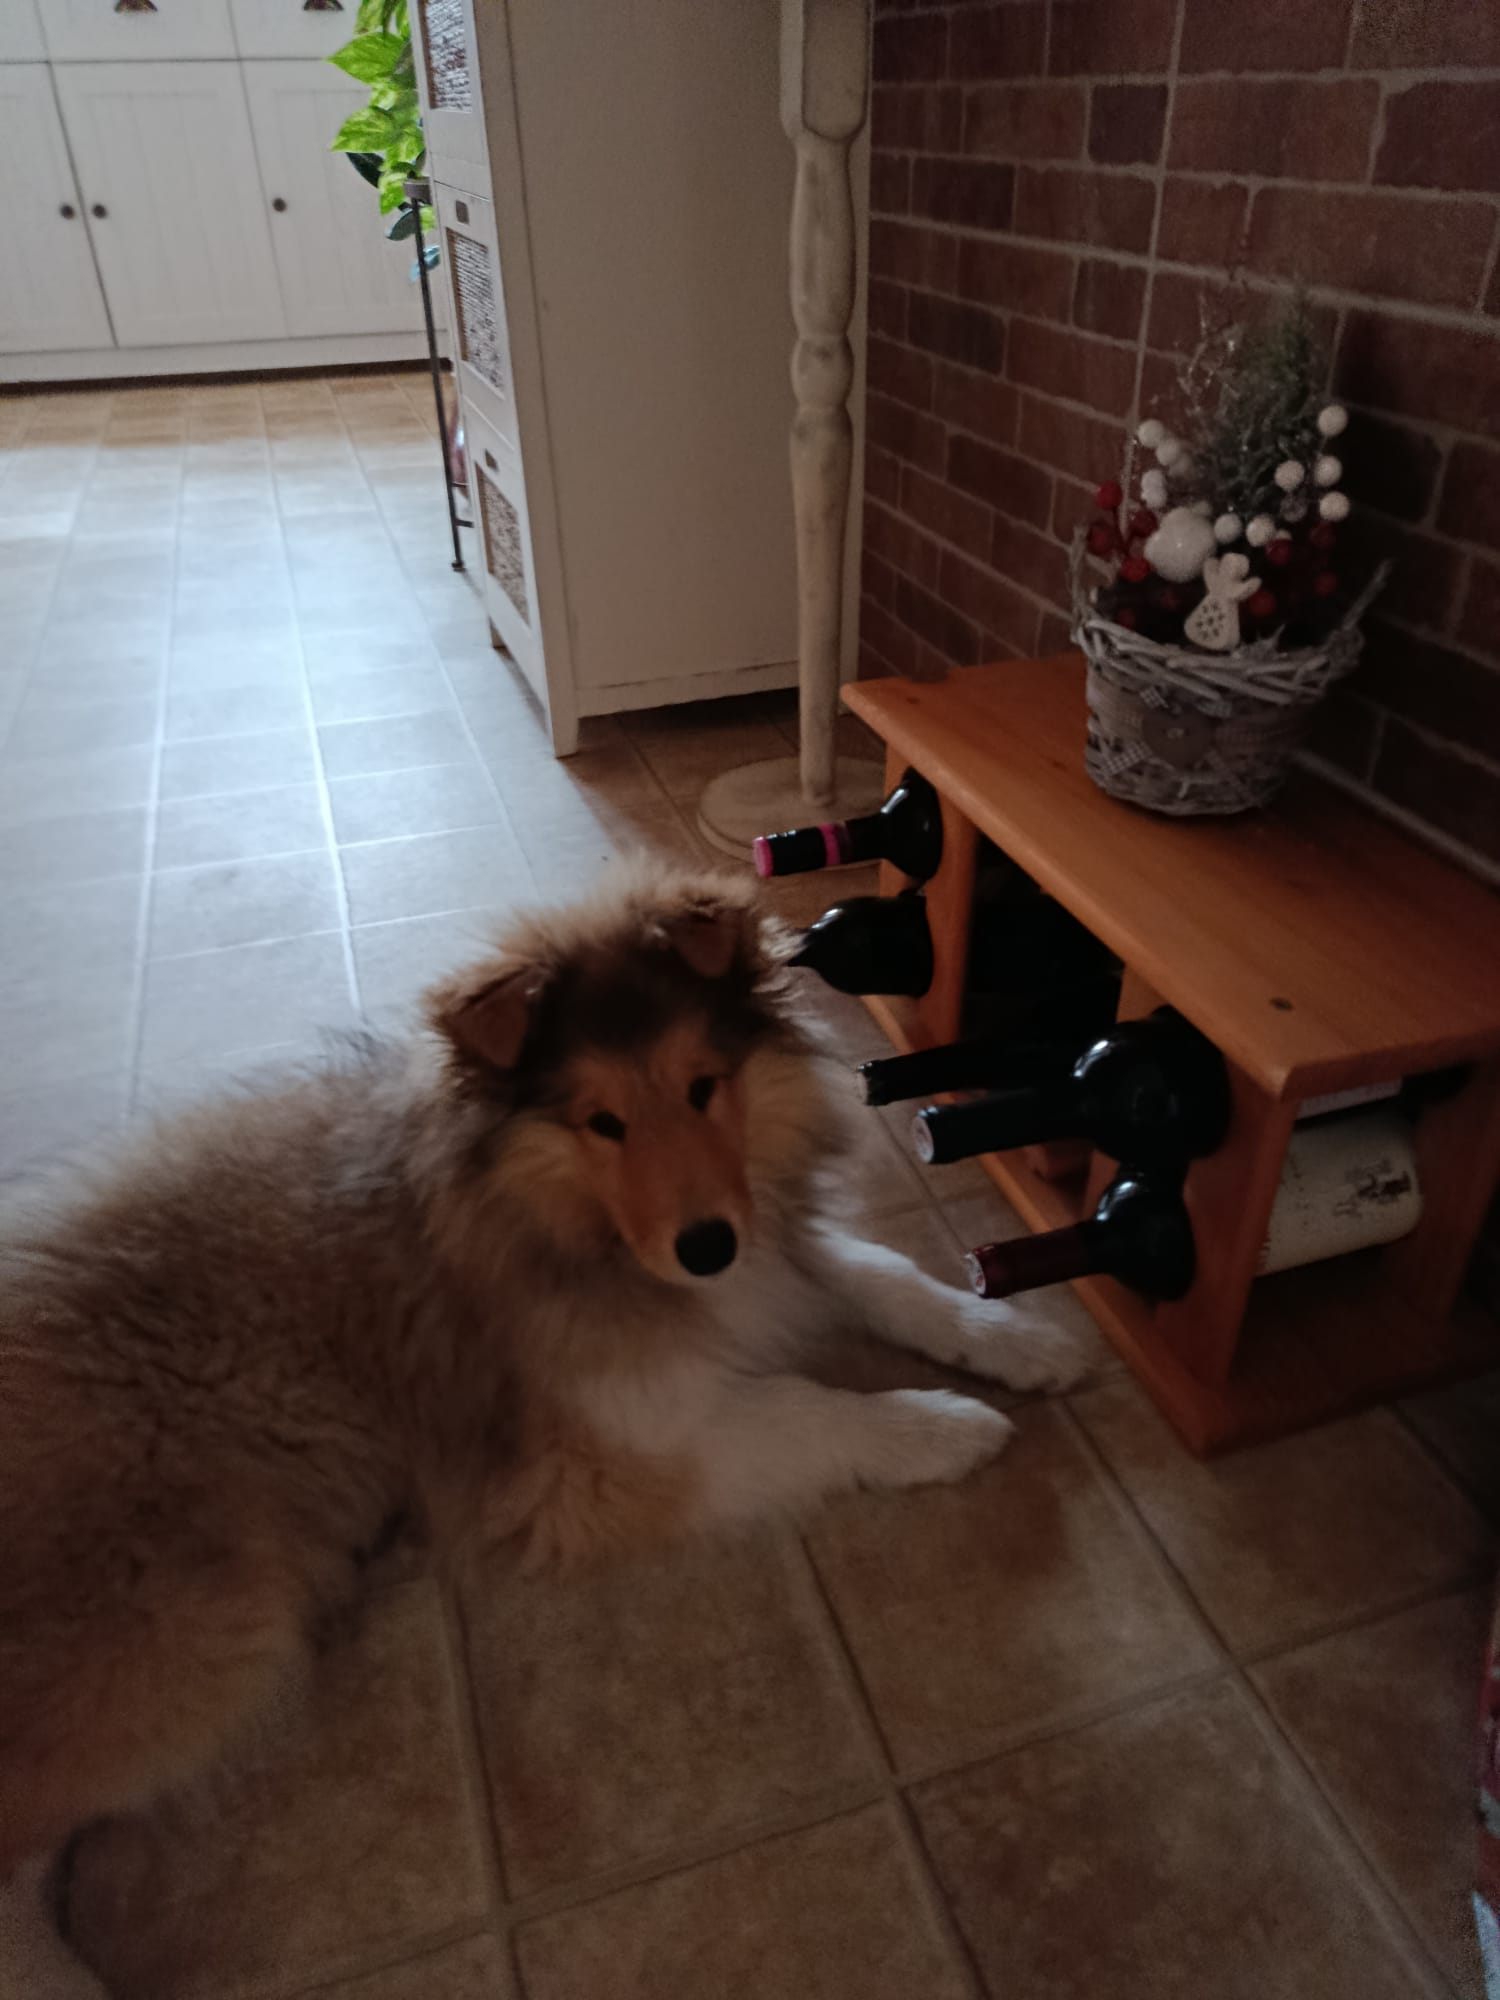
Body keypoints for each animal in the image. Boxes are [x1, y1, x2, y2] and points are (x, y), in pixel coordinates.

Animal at [0, 864, 1081, 1995]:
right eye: (601, 1120)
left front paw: (1018, 1337)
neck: (559, 1220)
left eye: (704, 1086)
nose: (707, 1246)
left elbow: (889, 1276)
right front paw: (944, 1426)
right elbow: (806, 1404)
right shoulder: (595, 1464)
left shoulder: (772, 1263)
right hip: (200, 1631)